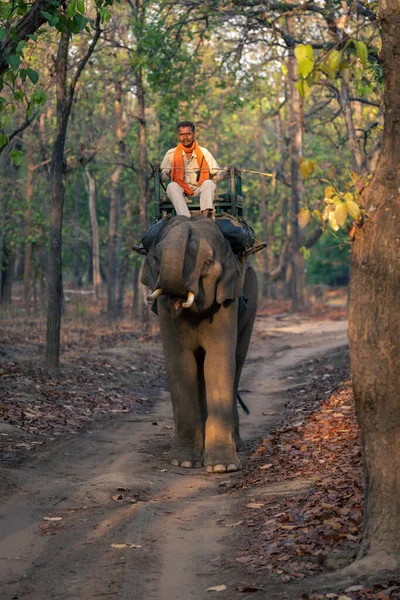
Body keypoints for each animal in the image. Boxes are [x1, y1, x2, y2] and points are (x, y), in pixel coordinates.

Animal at [142, 216, 258, 474]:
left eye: (206, 263)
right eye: (156, 259)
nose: (185, 219)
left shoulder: (226, 302)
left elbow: (218, 361)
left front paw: (223, 468)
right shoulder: (165, 310)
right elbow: (180, 364)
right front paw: (183, 462)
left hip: (253, 303)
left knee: (237, 361)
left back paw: (237, 445)